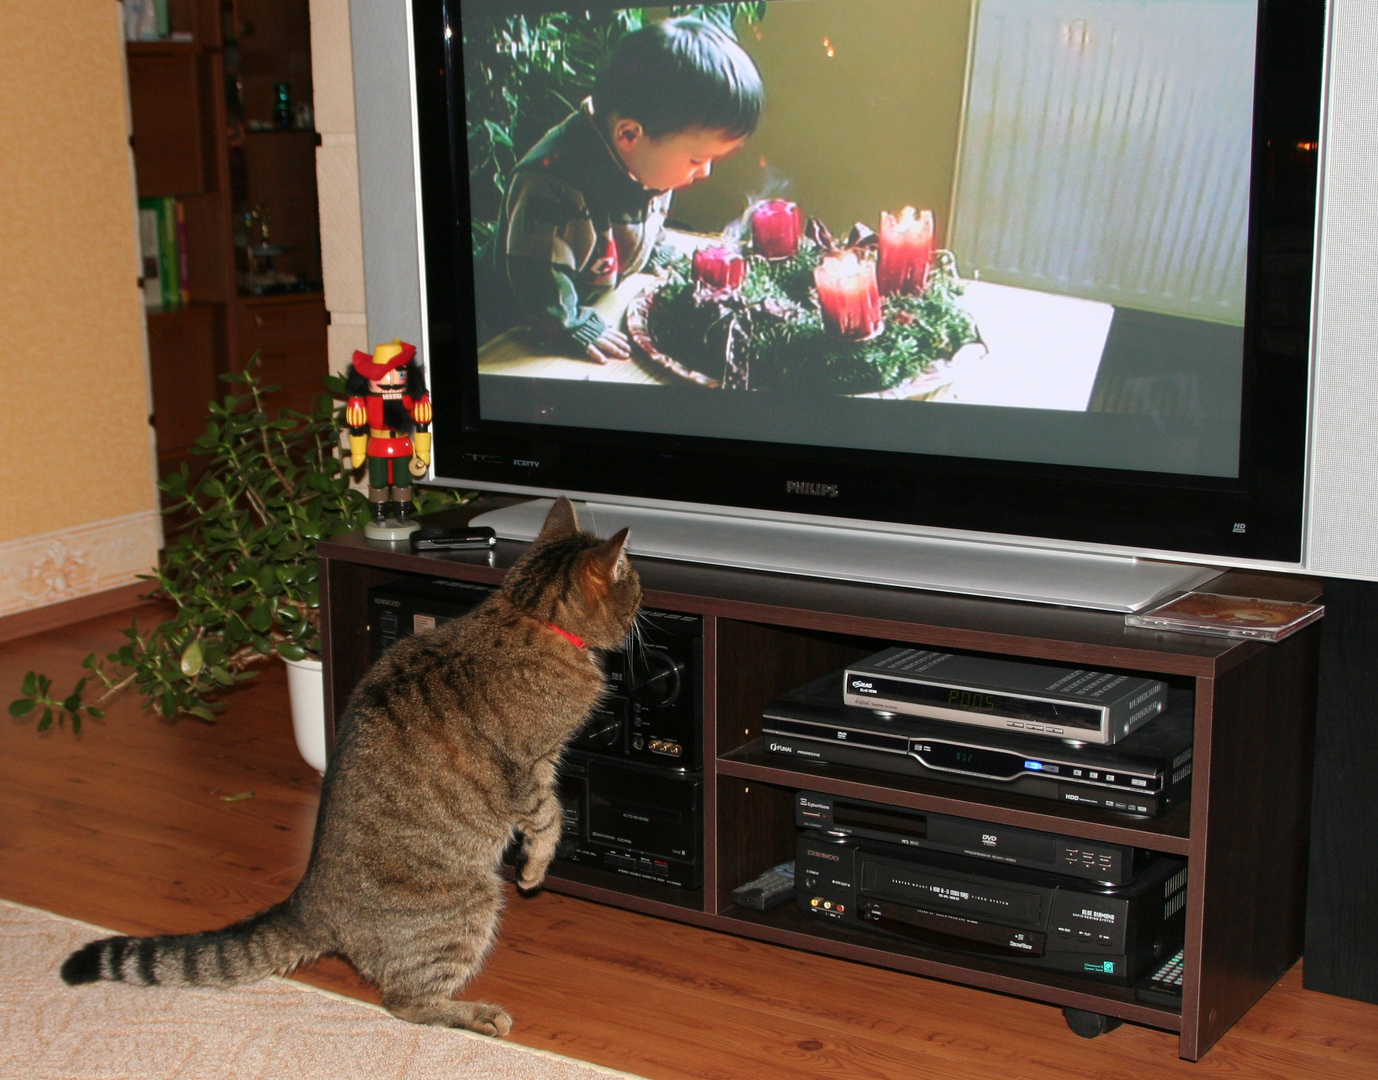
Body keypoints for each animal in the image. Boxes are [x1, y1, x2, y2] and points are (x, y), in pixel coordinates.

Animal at [59, 498, 639, 1035]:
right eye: (632, 579)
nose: (643, 598)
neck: (530, 611)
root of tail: (308, 901)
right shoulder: (528, 769)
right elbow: (549, 818)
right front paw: (536, 870)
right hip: (470, 903)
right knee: (407, 1002)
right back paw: (477, 1013)